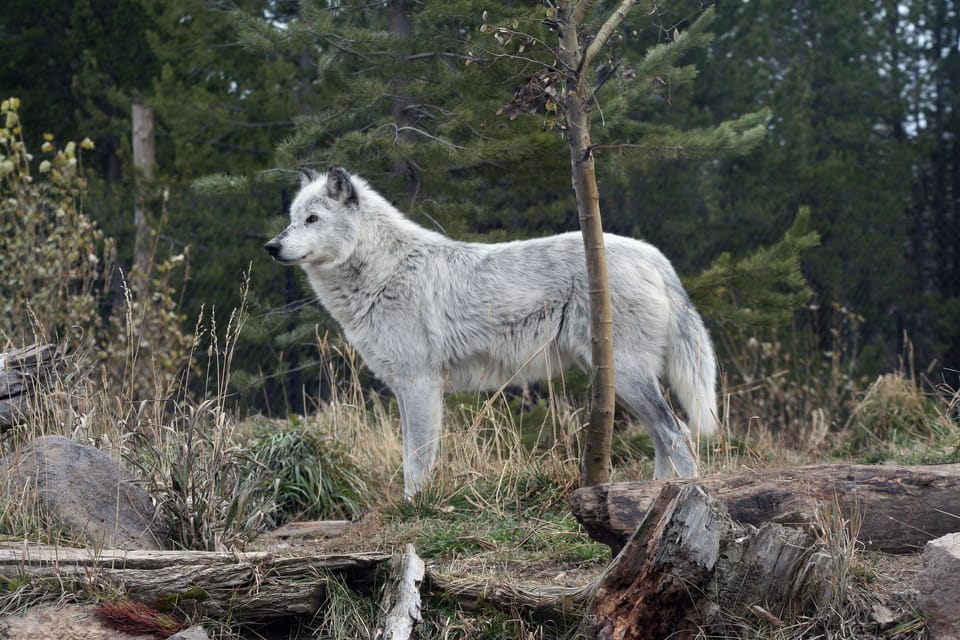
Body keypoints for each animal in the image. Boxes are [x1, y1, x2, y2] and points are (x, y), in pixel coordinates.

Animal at [265, 167, 718, 498]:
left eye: (312, 219)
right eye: (291, 220)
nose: (271, 247)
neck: (382, 271)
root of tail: (653, 254)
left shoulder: (420, 384)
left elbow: (417, 460)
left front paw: (413, 510)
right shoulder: (406, 387)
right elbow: (411, 456)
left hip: (626, 376)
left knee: (676, 433)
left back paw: (681, 493)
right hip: (619, 380)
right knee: (663, 436)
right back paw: (652, 494)